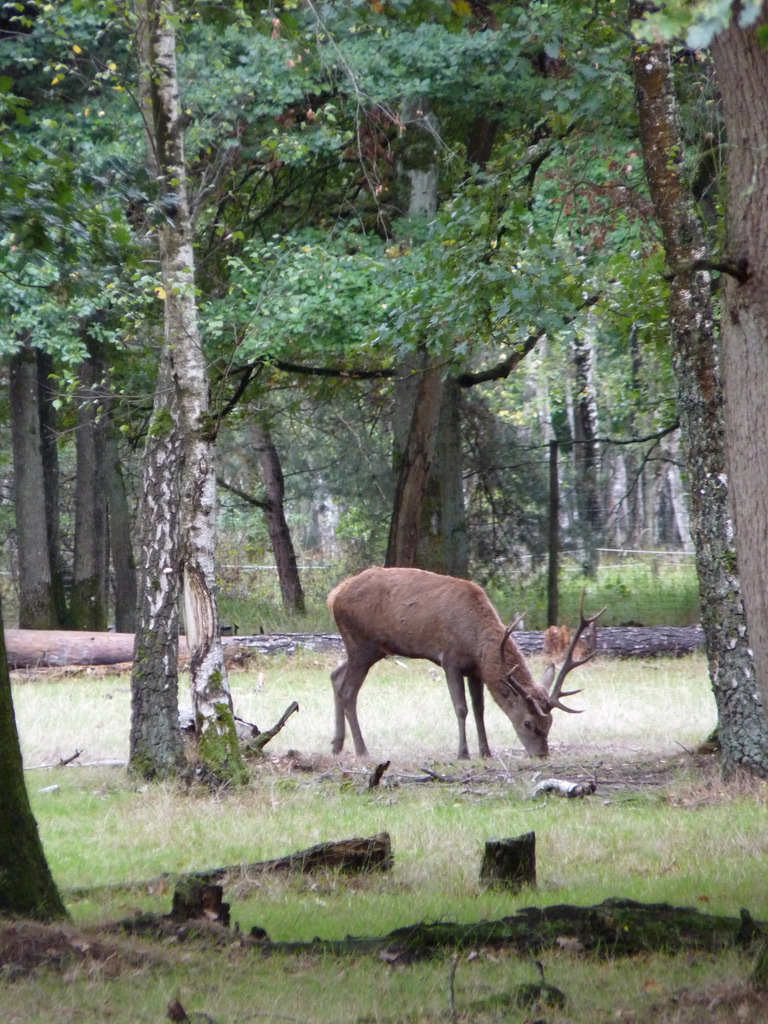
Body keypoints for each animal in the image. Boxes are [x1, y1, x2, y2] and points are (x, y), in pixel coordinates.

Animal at [327, 569, 606, 761]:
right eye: (528, 723)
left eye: (549, 723)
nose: (542, 754)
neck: (475, 643)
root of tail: (334, 595)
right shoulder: (450, 660)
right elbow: (461, 708)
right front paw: (463, 753)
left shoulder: (475, 671)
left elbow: (480, 709)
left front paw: (486, 752)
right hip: (362, 643)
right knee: (348, 691)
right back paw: (362, 750)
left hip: (371, 649)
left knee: (335, 675)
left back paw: (337, 745)